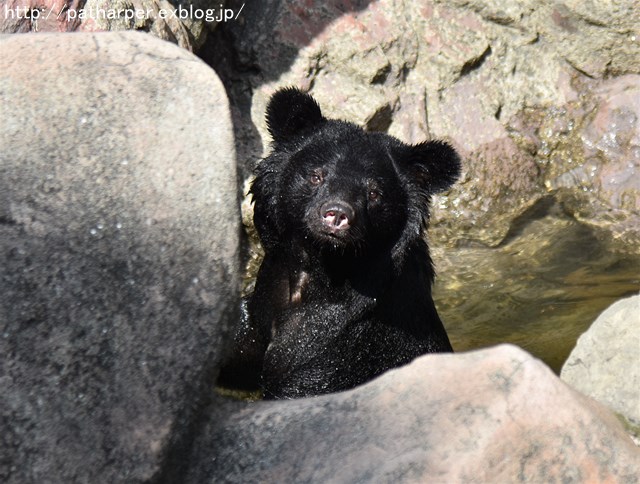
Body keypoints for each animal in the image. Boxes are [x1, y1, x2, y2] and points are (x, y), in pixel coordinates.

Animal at [220, 89, 460, 398]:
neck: (322, 266)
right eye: (316, 175)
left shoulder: (348, 349)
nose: (336, 214)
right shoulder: (262, 306)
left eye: (374, 193)